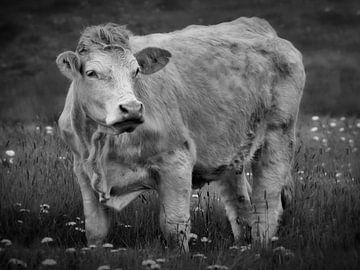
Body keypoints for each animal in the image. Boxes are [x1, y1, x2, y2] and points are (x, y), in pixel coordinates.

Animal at [57, 17, 306, 252]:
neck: (105, 145)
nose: (132, 108)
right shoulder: (83, 170)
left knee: (266, 203)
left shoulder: (176, 160)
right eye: (91, 73)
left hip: (278, 134)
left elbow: (174, 226)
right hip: (232, 148)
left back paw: (259, 248)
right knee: (240, 205)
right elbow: (95, 229)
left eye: (136, 71)